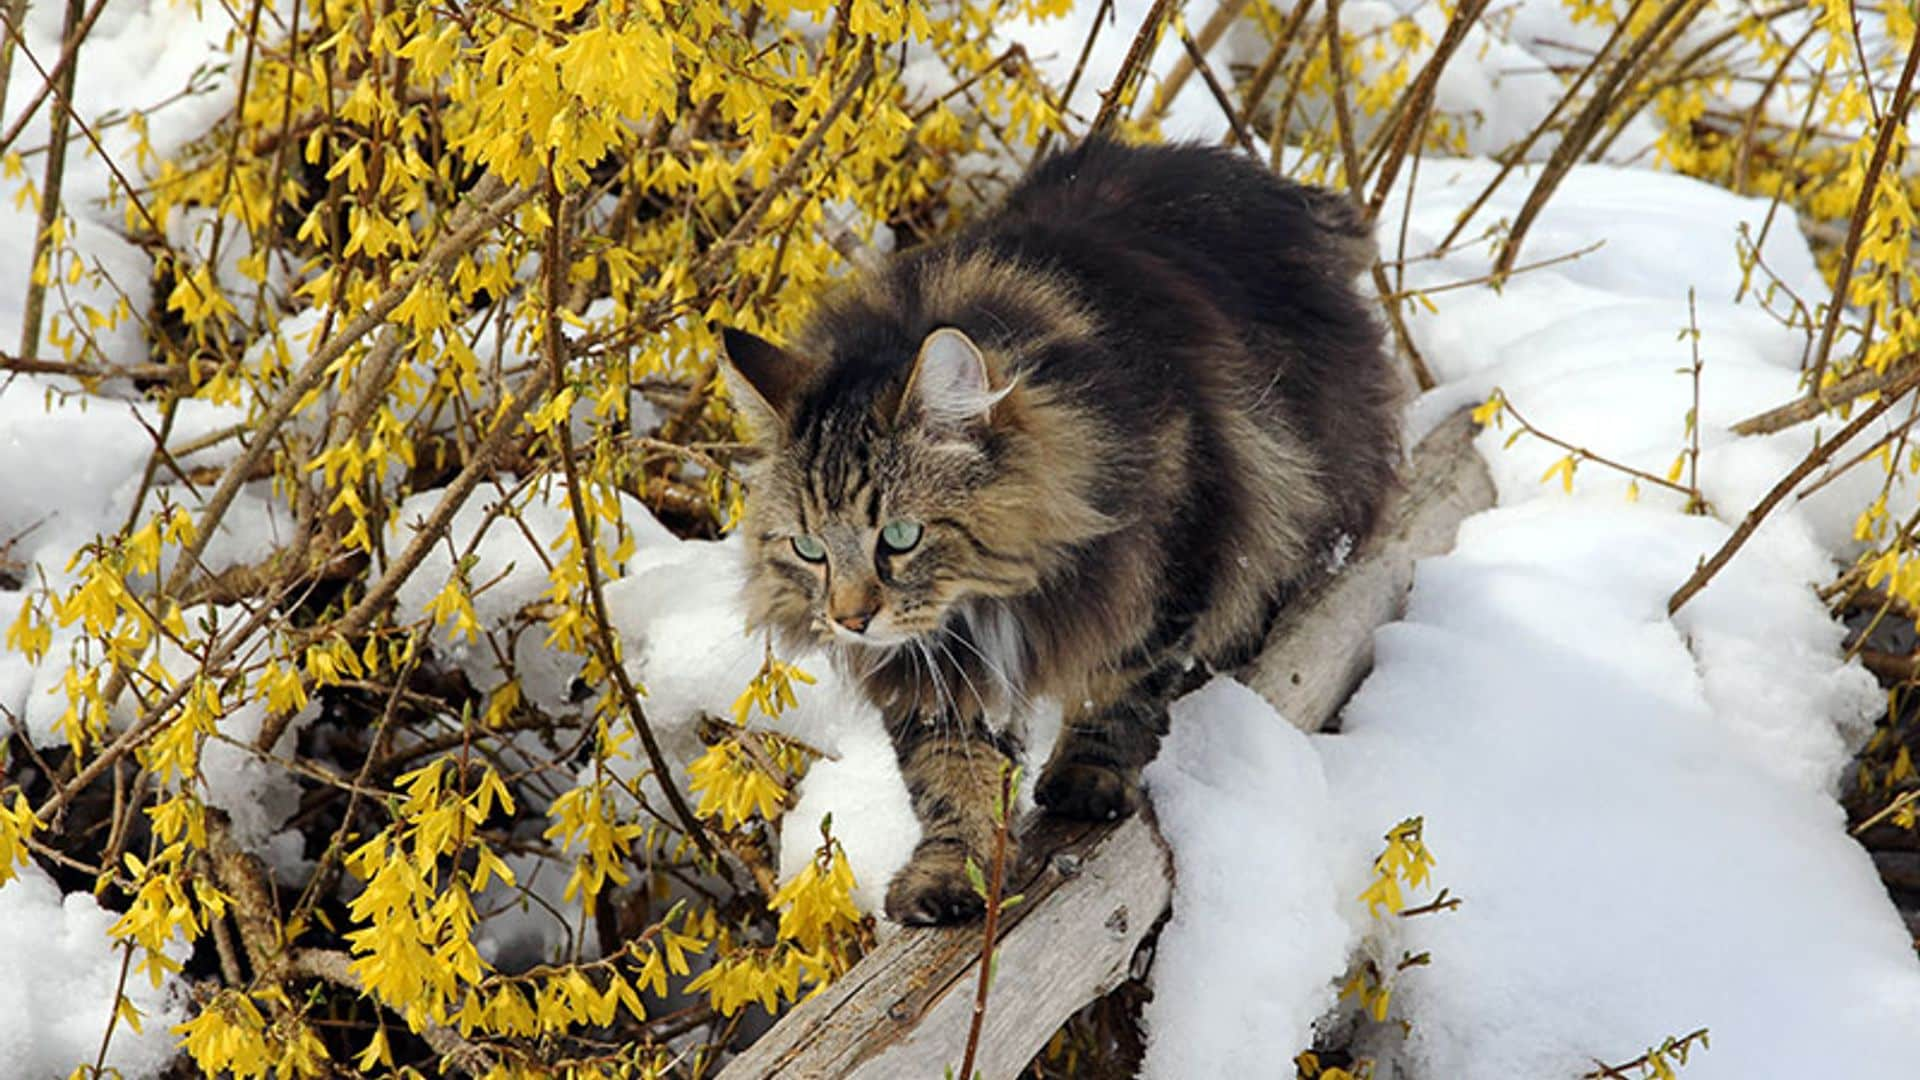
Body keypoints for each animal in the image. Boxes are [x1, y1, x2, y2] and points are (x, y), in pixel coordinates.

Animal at [718, 136, 1397, 926]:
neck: (989, 597)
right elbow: (951, 773)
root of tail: (1263, 182)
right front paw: (952, 870)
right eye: (809, 549)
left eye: (900, 536)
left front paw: (1085, 778)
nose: (851, 620)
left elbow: (1121, 685)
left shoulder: (1173, 551)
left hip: (1303, 488)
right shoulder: (938, 670)